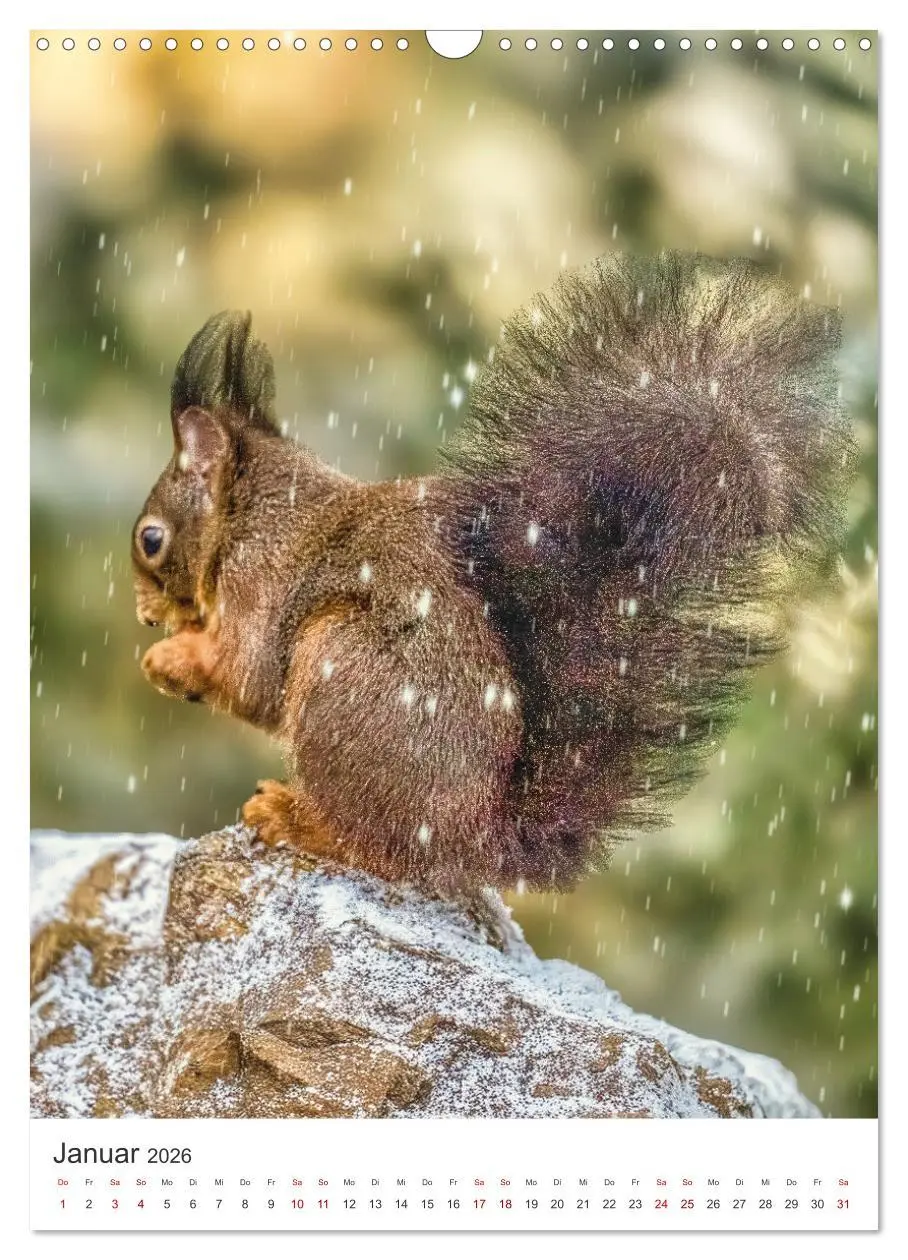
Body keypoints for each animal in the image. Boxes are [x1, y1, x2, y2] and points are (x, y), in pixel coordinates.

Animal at [132, 251, 854, 894]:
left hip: (344, 669)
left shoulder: (258, 581)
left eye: (150, 539)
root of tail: (475, 839)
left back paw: (295, 819)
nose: (143, 615)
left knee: (374, 850)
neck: (252, 512)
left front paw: (170, 659)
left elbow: (247, 677)